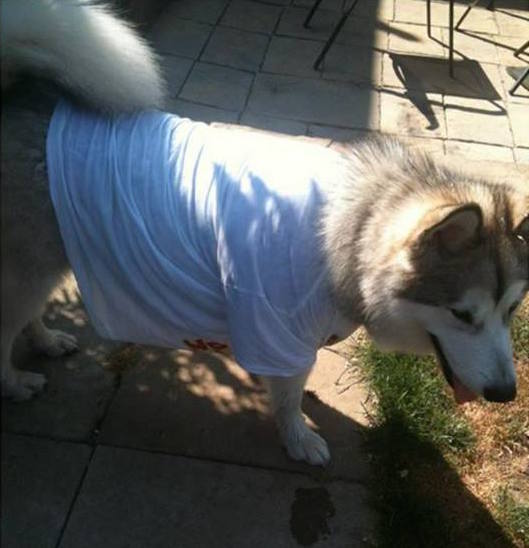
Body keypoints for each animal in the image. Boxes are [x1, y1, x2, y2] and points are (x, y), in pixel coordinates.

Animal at [2, 0, 524, 464]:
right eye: (461, 314)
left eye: (513, 311)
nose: (505, 394)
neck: (353, 230)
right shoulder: (274, 323)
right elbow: (288, 393)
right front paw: (298, 437)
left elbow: (293, 380)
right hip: (26, 272)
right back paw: (15, 382)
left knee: (28, 315)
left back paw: (47, 341)